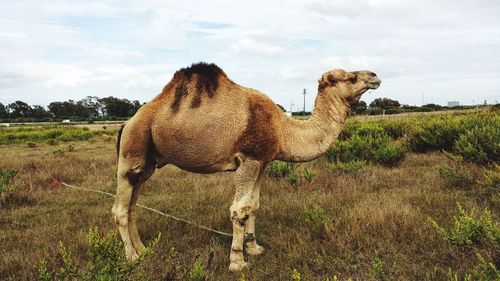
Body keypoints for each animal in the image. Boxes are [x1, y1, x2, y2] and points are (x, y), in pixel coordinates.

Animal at [112, 62, 378, 270]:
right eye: (350, 77)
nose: (375, 76)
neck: (283, 129)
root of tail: (127, 123)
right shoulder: (248, 159)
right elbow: (238, 209)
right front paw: (237, 261)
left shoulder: (262, 161)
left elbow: (254, 205)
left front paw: (254, 248)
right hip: (132, 150)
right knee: (120, 210)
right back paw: (132, 257)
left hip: (147, 163)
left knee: (132, 206)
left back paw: (143, 249)